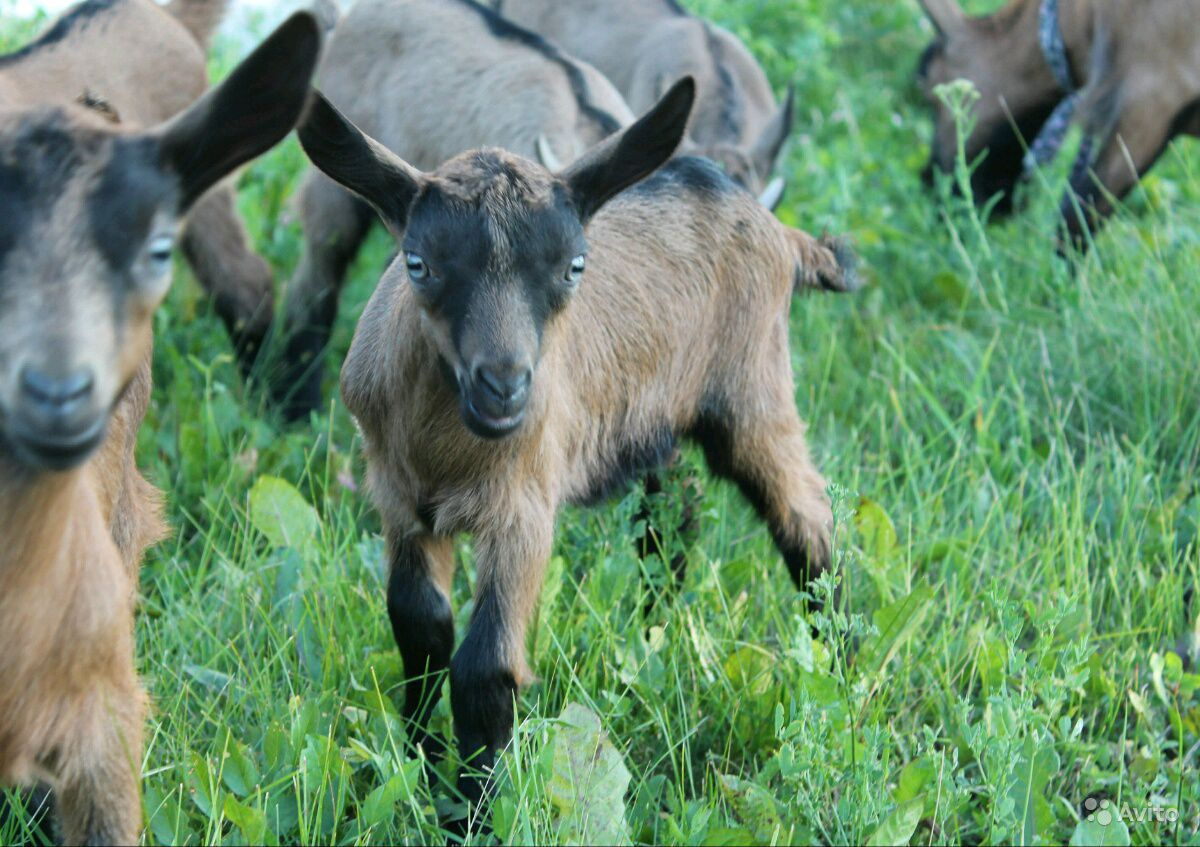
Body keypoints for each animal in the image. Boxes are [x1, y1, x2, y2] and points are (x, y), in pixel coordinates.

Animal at [300, 77, 859, 811]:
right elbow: (418, 626)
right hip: (653, 418)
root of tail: (776, 229)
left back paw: (836, 669)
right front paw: (423, 771)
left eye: (573, 266)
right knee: (671, 517)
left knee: (805, 517)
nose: (505, 387)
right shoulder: (399, 498)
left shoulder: (524, 507)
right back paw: (653, 637)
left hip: (753, 387)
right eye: (417, 264)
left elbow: (485, 668)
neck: (447, 446)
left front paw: (472, 811)